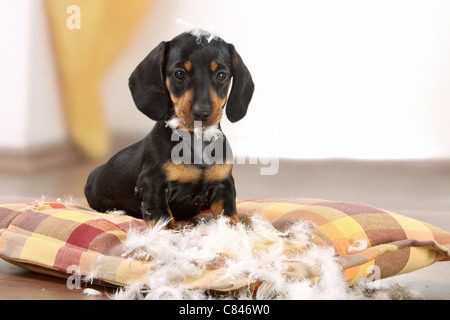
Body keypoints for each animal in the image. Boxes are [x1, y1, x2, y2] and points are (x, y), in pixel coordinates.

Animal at [83, 31, 253, 228]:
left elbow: (230, 218)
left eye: (221, 75)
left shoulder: (223, 185)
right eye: (179, 74)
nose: (201, 113)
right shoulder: (153, 186)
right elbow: (163, 222)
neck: (195, 141)